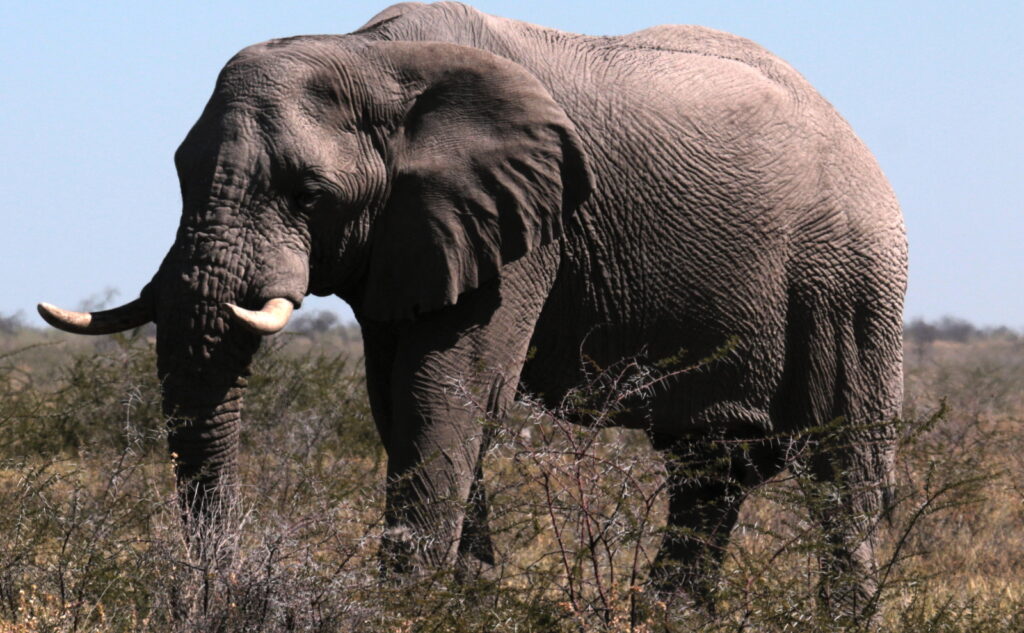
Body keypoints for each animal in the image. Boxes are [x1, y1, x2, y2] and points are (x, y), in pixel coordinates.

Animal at [37, 1, 905, 614]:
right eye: (179, 173)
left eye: (308, 194)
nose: (217, 591)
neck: (370, 55)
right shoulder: (409, 232)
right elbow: (397, 397)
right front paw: (468, 597)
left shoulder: (528, 224)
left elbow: (448, 388)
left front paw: (406, 606)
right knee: (710, 468)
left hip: (848, 285)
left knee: (844, 471)